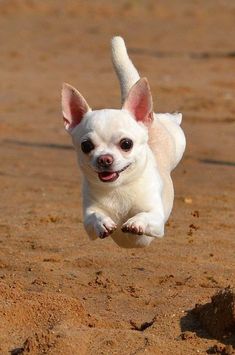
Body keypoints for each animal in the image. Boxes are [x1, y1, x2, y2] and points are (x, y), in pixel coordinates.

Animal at [62, 35, 185, 248]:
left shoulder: (157, 221)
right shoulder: (88, 221)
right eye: (86, 146)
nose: (104, 159)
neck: (119, 188)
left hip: (178, 139)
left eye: (126, 144)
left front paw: (136, 222)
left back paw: (174, 116)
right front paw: (102, 222)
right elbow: (94, 216)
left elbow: (146, 216)